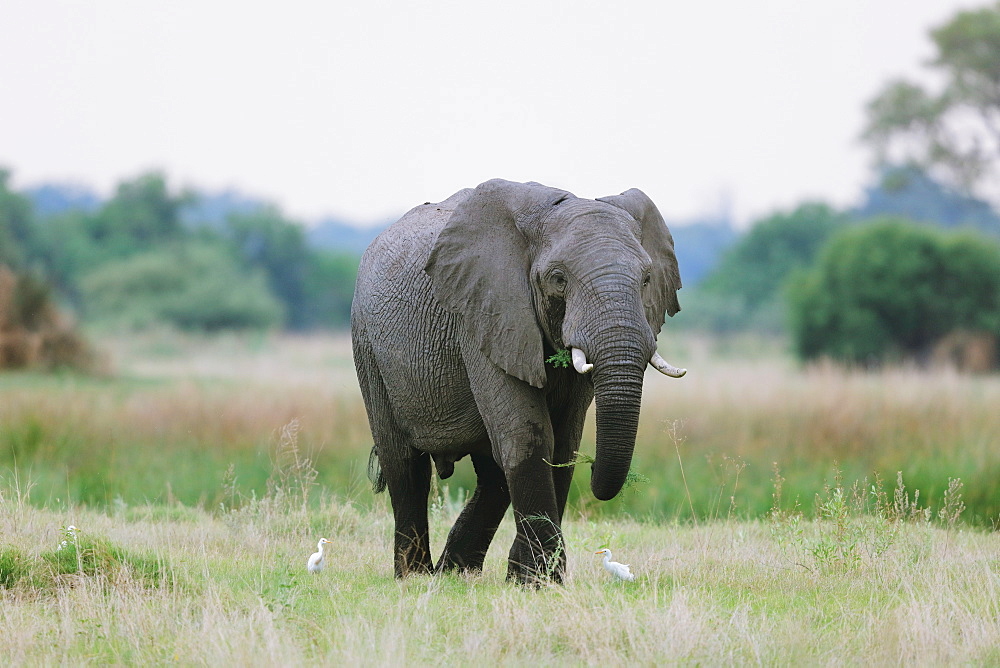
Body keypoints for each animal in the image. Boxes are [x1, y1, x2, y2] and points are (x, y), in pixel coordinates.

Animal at [352, 179, 688, 584]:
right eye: (558, 280)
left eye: (647, 279)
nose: (596, 474)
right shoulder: (482, 313)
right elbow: (529, 436)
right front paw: (539, 582)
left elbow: (563, 446)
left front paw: (532, 578)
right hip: (367, 345)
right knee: (404, 465)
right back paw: (415, 577)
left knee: (493, 472)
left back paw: (454, 573)